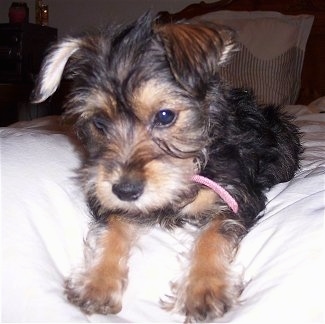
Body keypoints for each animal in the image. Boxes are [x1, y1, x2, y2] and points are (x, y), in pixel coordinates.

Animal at [31, 12, 302, 322]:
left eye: (164, 116)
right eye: (99, 123)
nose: (126, 190)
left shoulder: (238, 194)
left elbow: (214, 233)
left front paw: (206, 288)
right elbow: (113, 226)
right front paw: (96, 282)